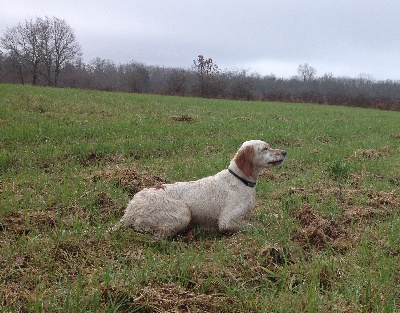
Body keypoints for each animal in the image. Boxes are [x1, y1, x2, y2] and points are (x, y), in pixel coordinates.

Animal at [116, 140, 288, 236]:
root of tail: (130, 210)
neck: (240, 180)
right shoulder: (227, 221)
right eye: (265, 148)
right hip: (183, 213)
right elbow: (254, 225)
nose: (285, 152)